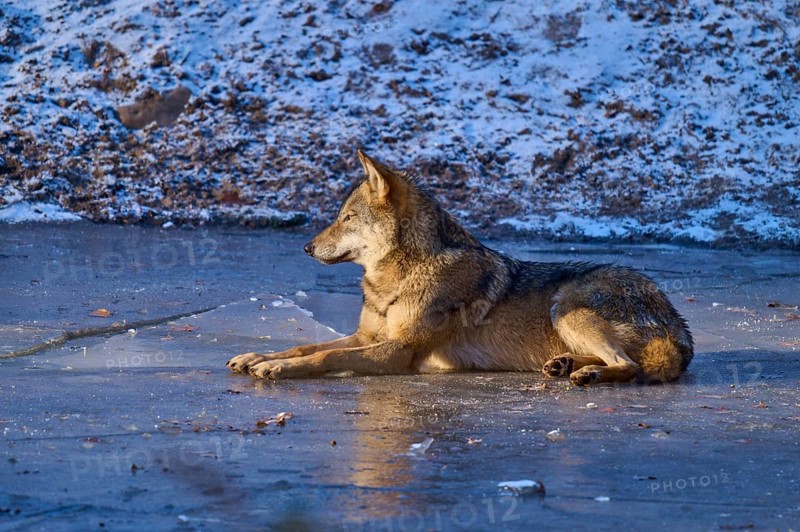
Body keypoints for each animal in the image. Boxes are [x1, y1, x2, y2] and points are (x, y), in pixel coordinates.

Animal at [227, 150, 693, 386]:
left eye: (347, 218)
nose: (306, 247)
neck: (399, 277)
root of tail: (680, 329)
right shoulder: (366, 336)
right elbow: (305, 346)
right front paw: (258, 356)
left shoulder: (399, 349)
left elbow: (323, 357)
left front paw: (275, 369)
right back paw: (566, 366)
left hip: (567, 308)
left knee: (631, 367)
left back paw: (588, 374)